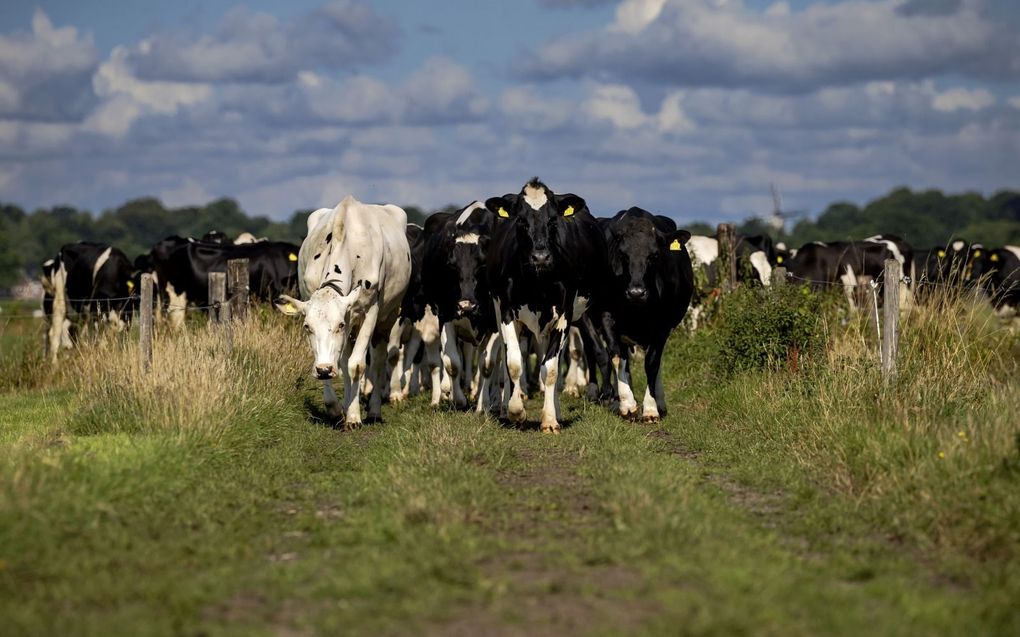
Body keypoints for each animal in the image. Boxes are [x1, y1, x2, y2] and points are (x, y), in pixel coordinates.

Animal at [483, 179, 607, 432]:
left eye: (552, 220)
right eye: (521, 220)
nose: (540, 257)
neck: (537, 282)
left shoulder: (564, 315)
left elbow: (550, 368)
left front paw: (550, 419)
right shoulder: (507, 311)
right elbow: (513, 363)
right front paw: (515, 410)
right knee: (506, 357)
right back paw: (506, 406)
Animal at [595, 205, 693, 419]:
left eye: (654, 255)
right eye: (623, 255)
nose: (636, 292)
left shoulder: (663, 325)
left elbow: (652, 363)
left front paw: (650, 408)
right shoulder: (607, 317)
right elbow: (616, 356)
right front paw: (627, 404)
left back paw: (660, 402)